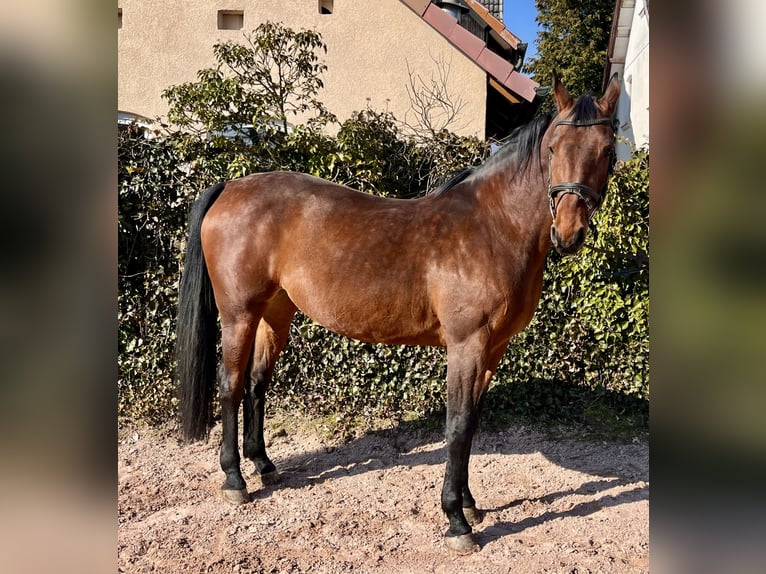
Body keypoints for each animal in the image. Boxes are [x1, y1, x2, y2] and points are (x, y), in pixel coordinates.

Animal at [176, 73, 620, 554]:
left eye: (607, 150)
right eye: (553, 148)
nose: (568, 232)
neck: (492, 226)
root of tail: (230, 187)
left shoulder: (493, 349)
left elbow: (472, 423)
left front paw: (469, 505)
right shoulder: (467, 345)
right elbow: (457, 426)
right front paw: (456, 521)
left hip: (275, 311)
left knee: (258, 383)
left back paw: (264, 466)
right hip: (238, 313)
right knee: (231, 385)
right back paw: (235, 479)